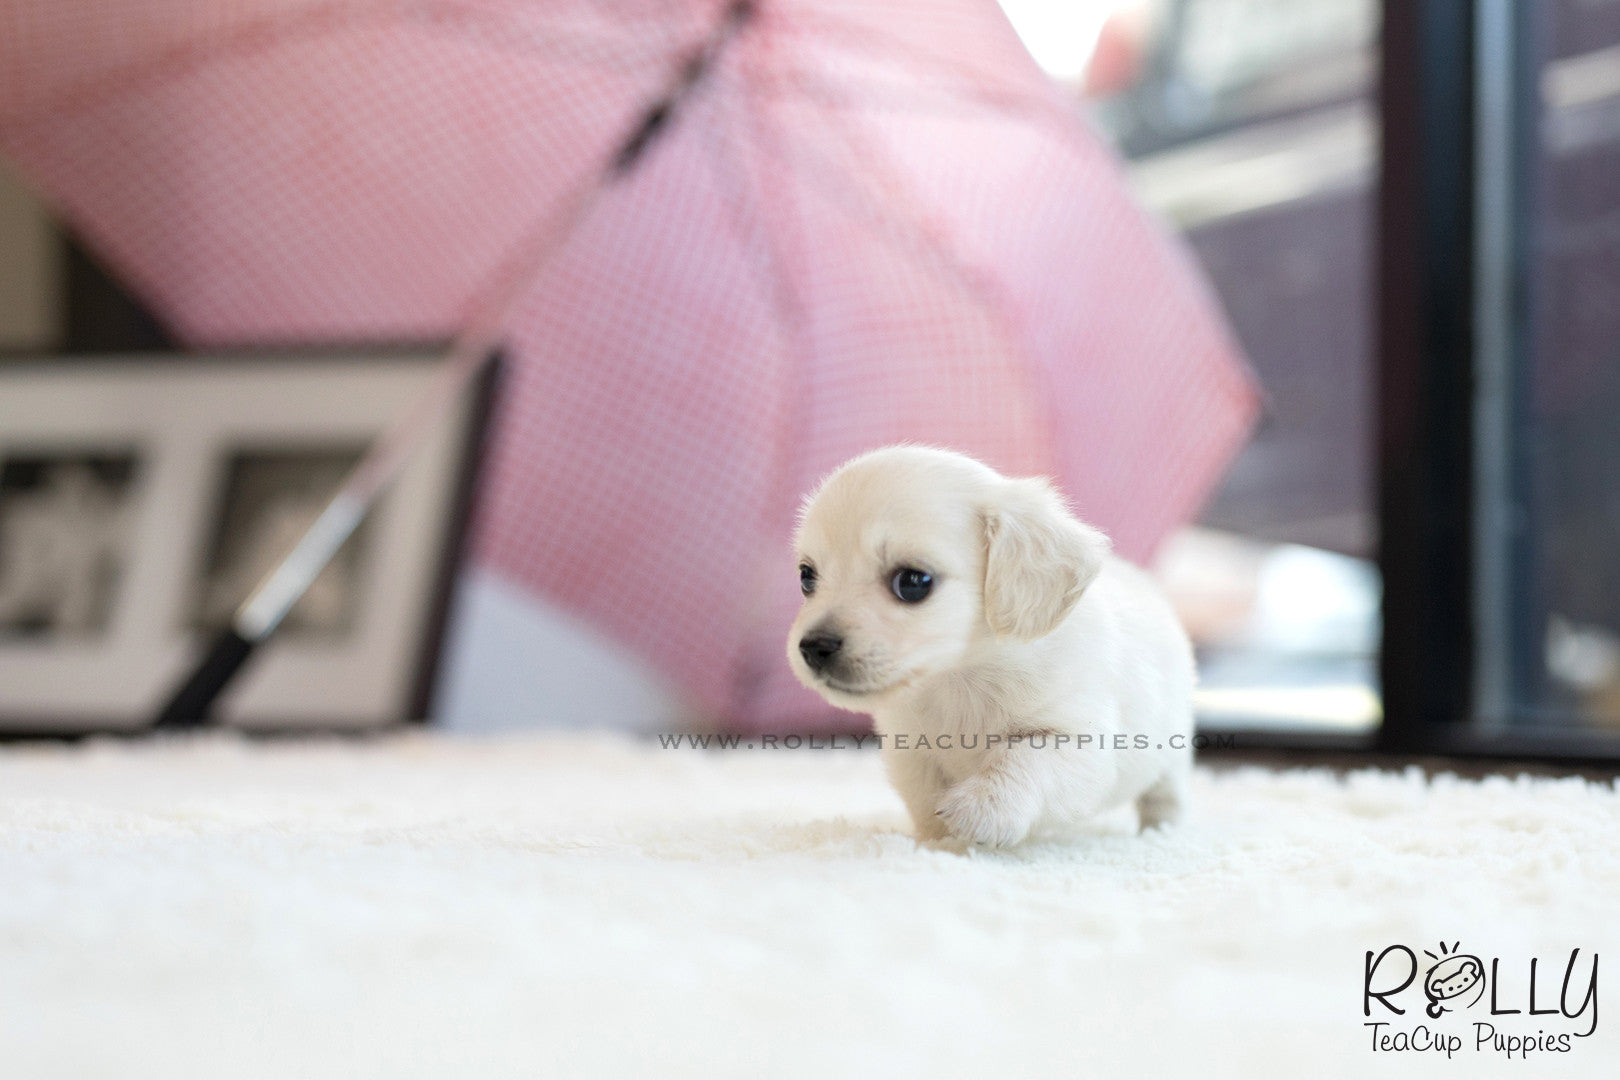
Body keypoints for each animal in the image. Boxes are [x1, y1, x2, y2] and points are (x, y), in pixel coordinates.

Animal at [790, 446, 1198, 841]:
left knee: (1166, 796)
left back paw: (1161, 833)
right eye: (807, 577)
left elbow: (1024, 759)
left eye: (913, 582)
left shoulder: (1076, 740)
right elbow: (925, 799)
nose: (813, 648)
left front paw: (984, 807)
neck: (962, 679)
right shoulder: (911, 753)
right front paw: (936, 843)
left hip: (1171, 753)